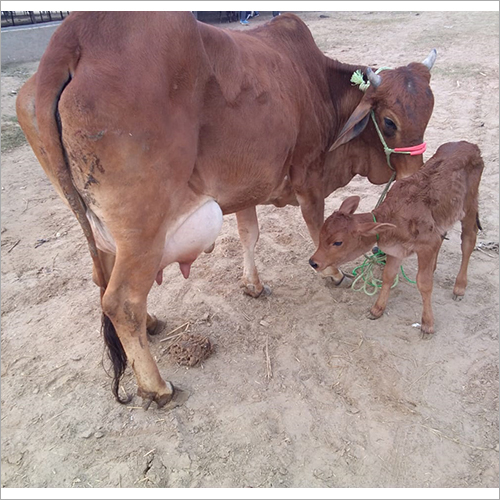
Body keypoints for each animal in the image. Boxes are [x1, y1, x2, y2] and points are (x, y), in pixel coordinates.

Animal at [16, 11, 438, 408]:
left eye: (429, 114)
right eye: (389, 122)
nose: (415, 178)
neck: (320, 88)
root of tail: (70, 40)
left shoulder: (246, 190)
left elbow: (249, 235)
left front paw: (253, 284)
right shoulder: (309, 179)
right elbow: (315, 226)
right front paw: (332, 274)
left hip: (100, 228)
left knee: (101, 280)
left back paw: (151, 325)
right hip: (142, 229)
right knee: (122, 301)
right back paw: (157, 387)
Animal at [308, 142, 484, 336]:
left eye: (338, 242)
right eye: (321, 235)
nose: (313, 262)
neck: (394, 220)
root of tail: (469, 145)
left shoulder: (427, 244)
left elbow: (423, 283)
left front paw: (427, 324)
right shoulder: (396, 249)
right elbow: (388, 276)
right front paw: (377, 309)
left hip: (469, 205)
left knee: (468, 240)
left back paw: (459, 287)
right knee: (443, 235)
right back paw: (434, 267)